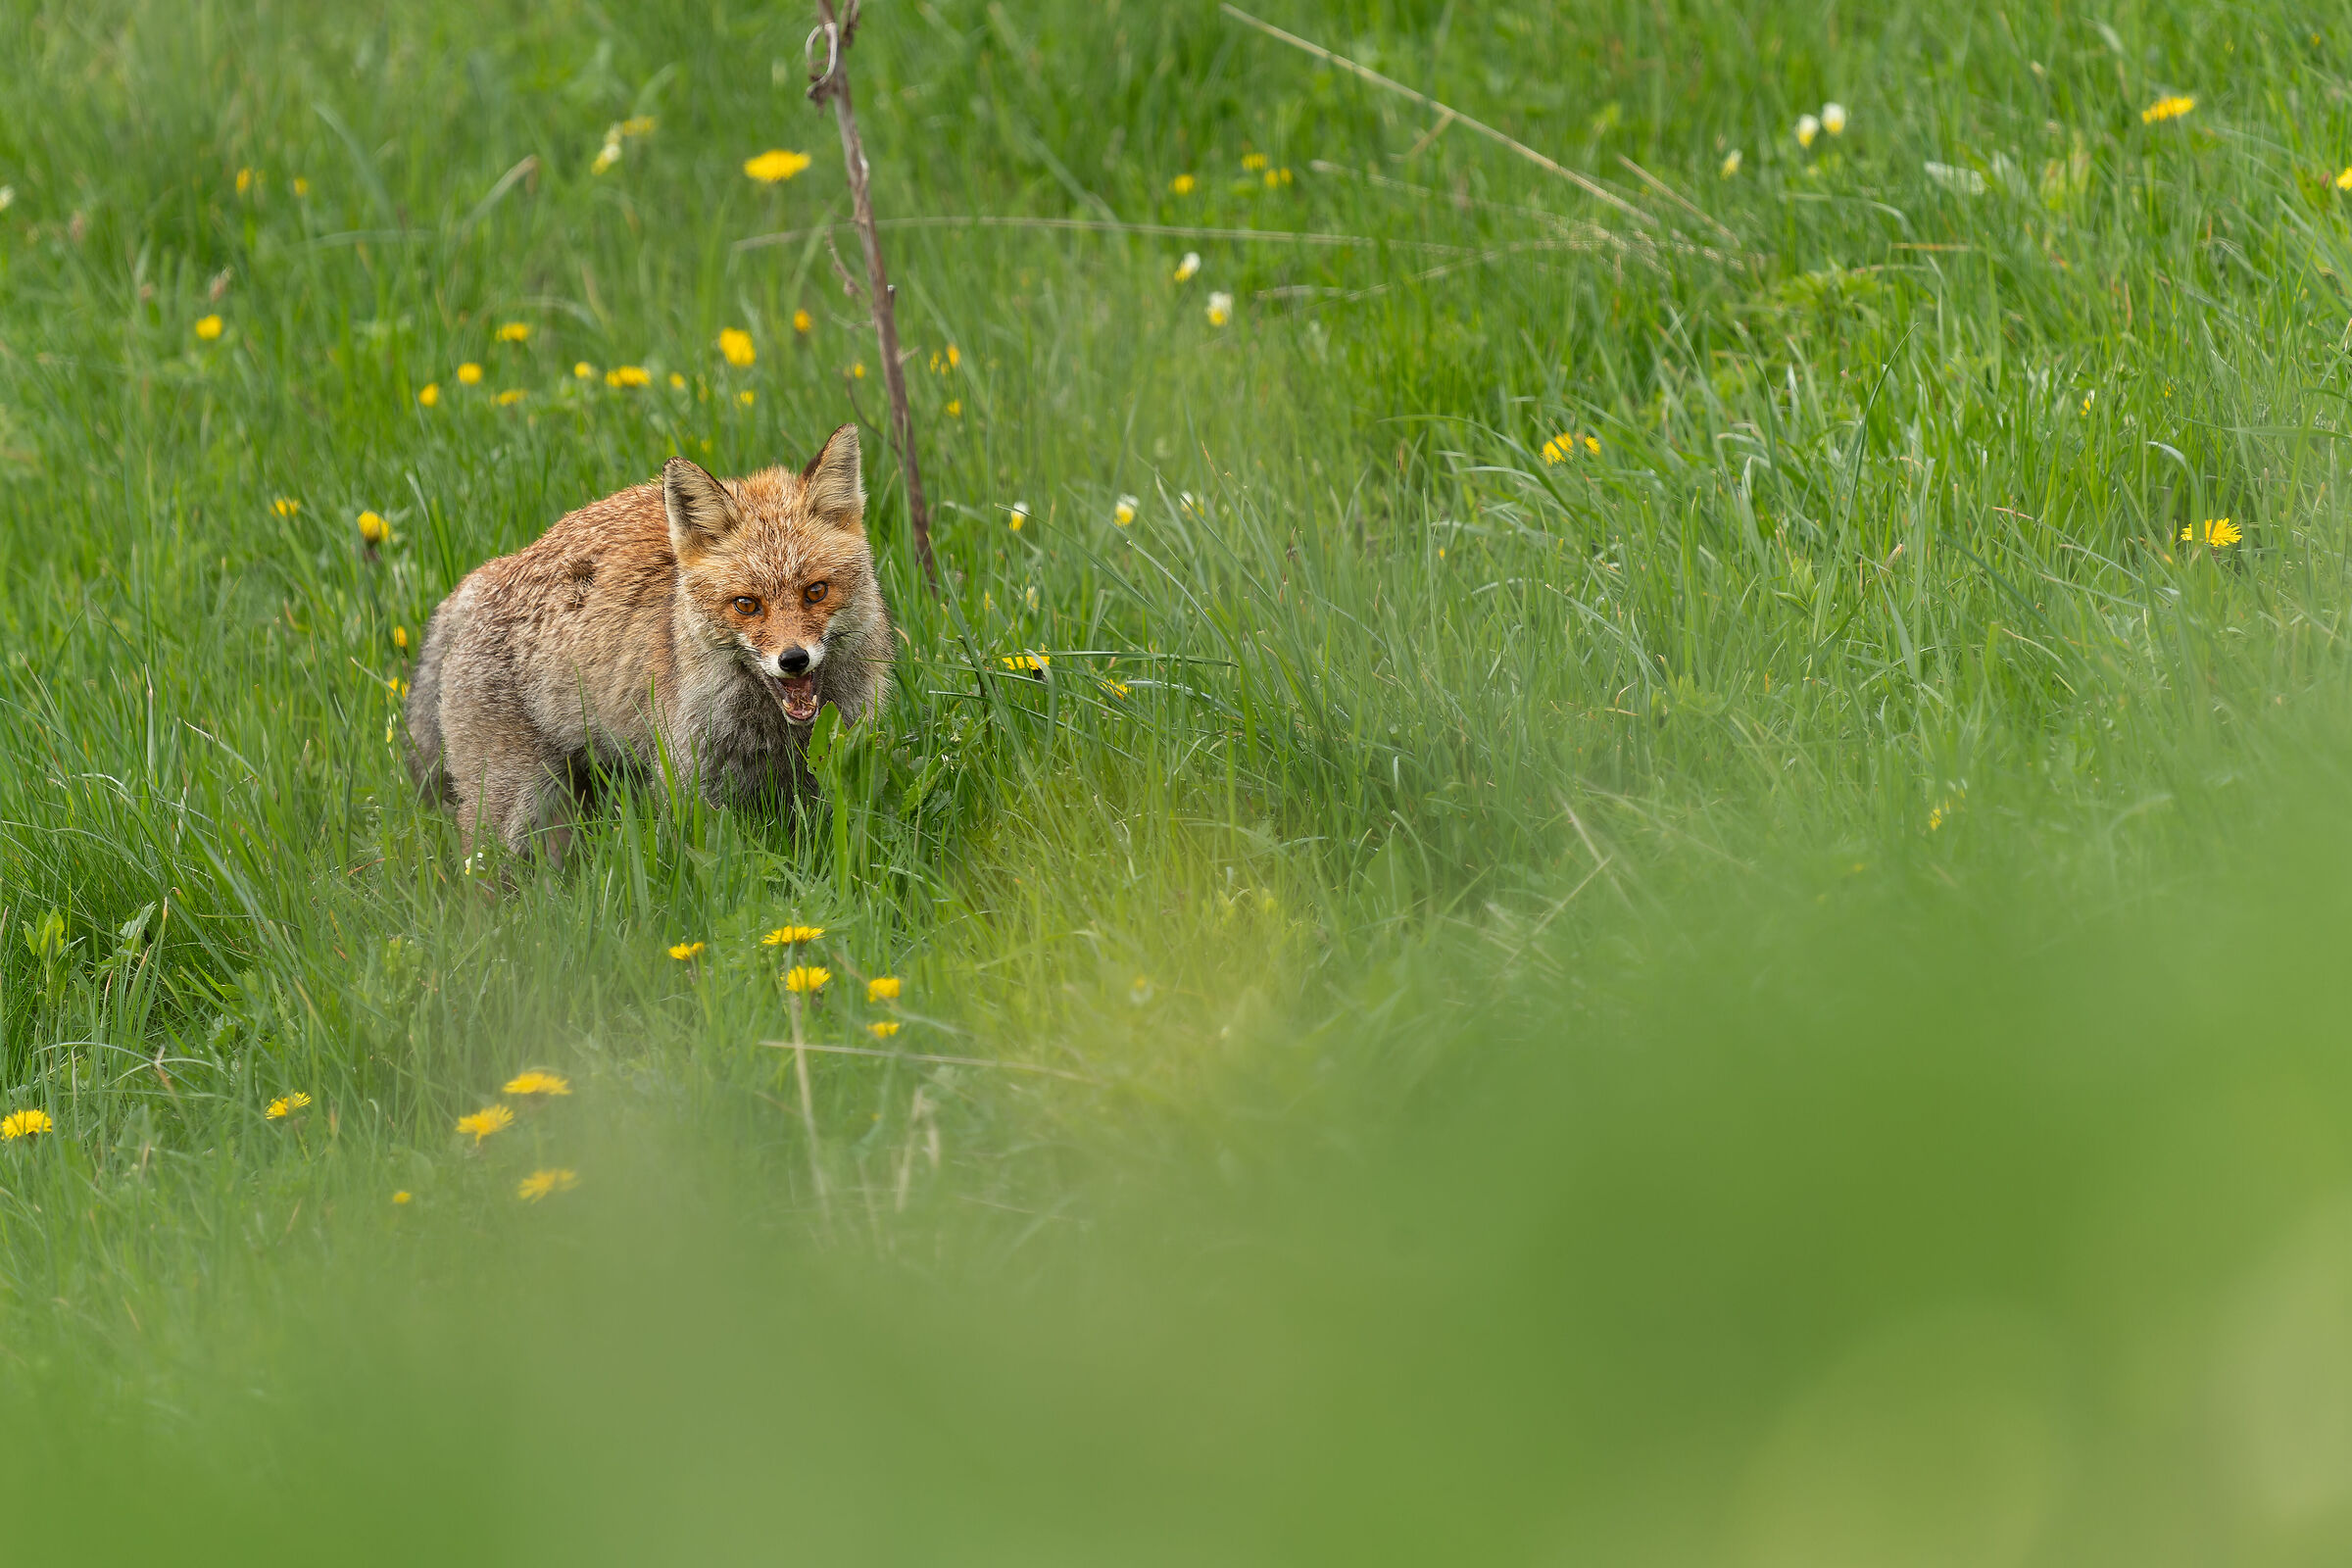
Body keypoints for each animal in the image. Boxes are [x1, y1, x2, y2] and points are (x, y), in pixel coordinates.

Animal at [404, 423, 893, 858]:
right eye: (746, 604)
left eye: (816, 592)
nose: (793, 659)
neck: (774, 732)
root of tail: (480, 577)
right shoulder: (690, 778)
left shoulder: (828, 766)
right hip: (514, 805)